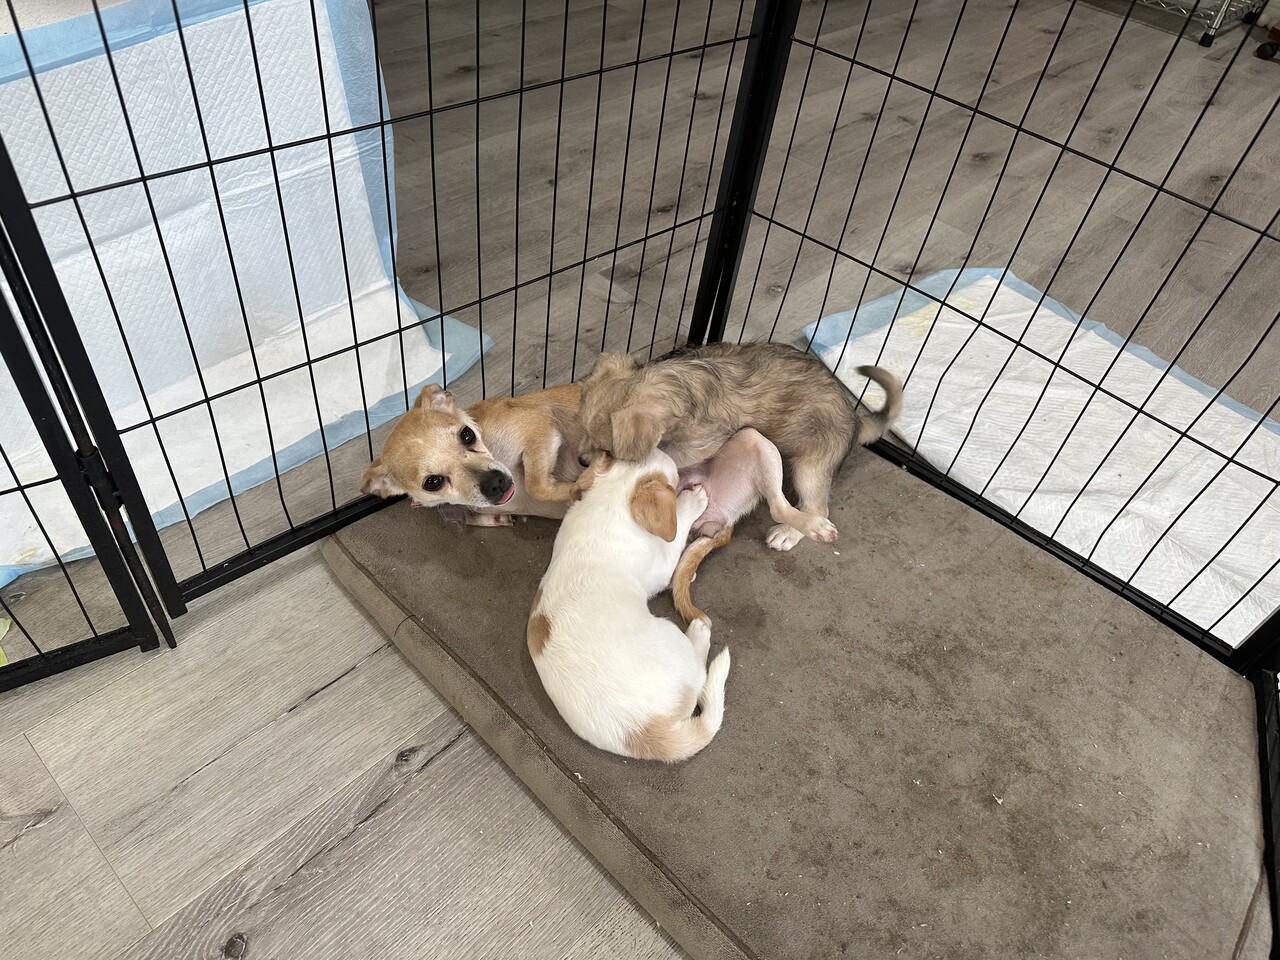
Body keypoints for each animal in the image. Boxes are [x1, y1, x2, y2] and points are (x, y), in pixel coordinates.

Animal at [527, 447, 730, 762]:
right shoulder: (662, 563)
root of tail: (648, 732)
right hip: (672, 637)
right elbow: (677, 532)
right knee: (700, 671)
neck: (609, 502)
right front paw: (691, 501)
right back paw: (699, 632)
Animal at [577, 341, 903, 550]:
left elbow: (665, 455)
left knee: (815, 507)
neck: (679, 383)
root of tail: (856, 417)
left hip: (810, 468)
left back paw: (793, 532)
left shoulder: (698, 445)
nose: (581, 462)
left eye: (609, 450)